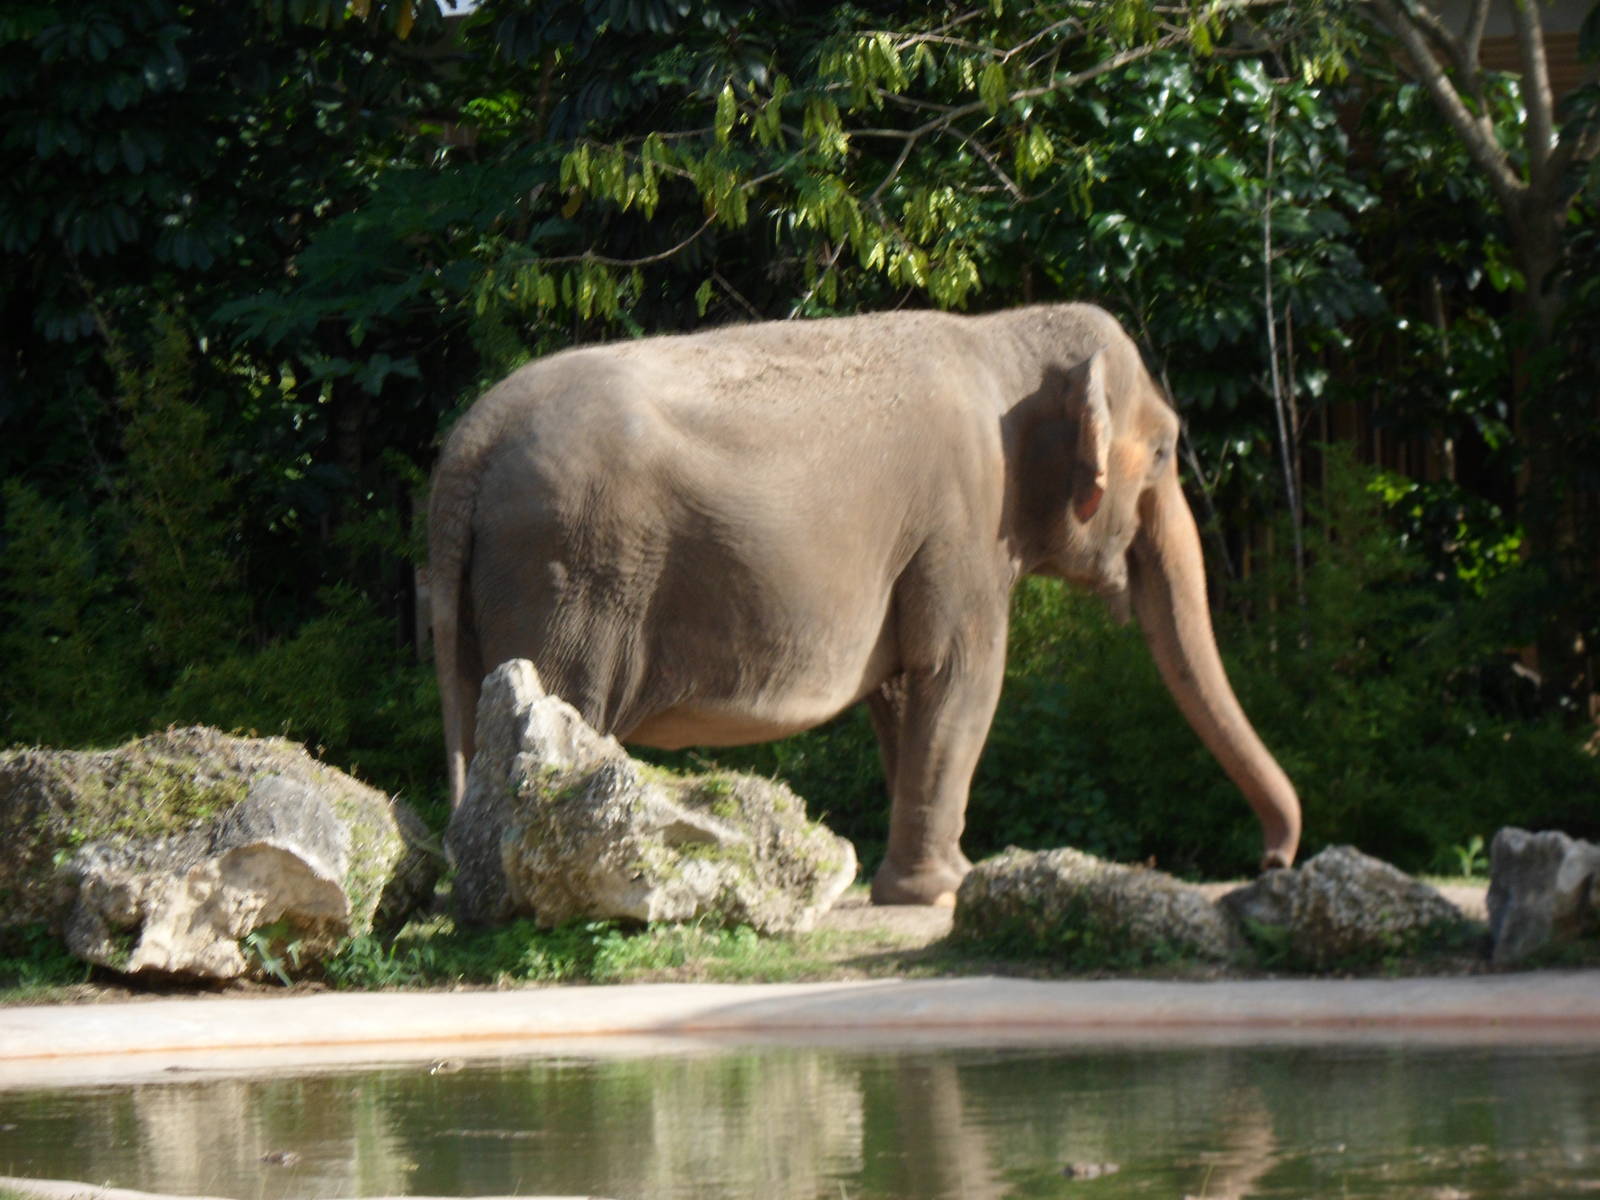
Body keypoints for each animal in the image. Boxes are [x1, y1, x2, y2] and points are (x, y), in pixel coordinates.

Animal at [427, 302, 1301, 905]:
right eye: (1164, 452)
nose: (1270, 863)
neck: (1005, 338)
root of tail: (467, 445)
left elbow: (904, 694)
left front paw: (924, 880)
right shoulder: (963, 519)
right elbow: (963, 676)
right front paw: (944, 890)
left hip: (488, 587)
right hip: (571, 572)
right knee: (560, 704)